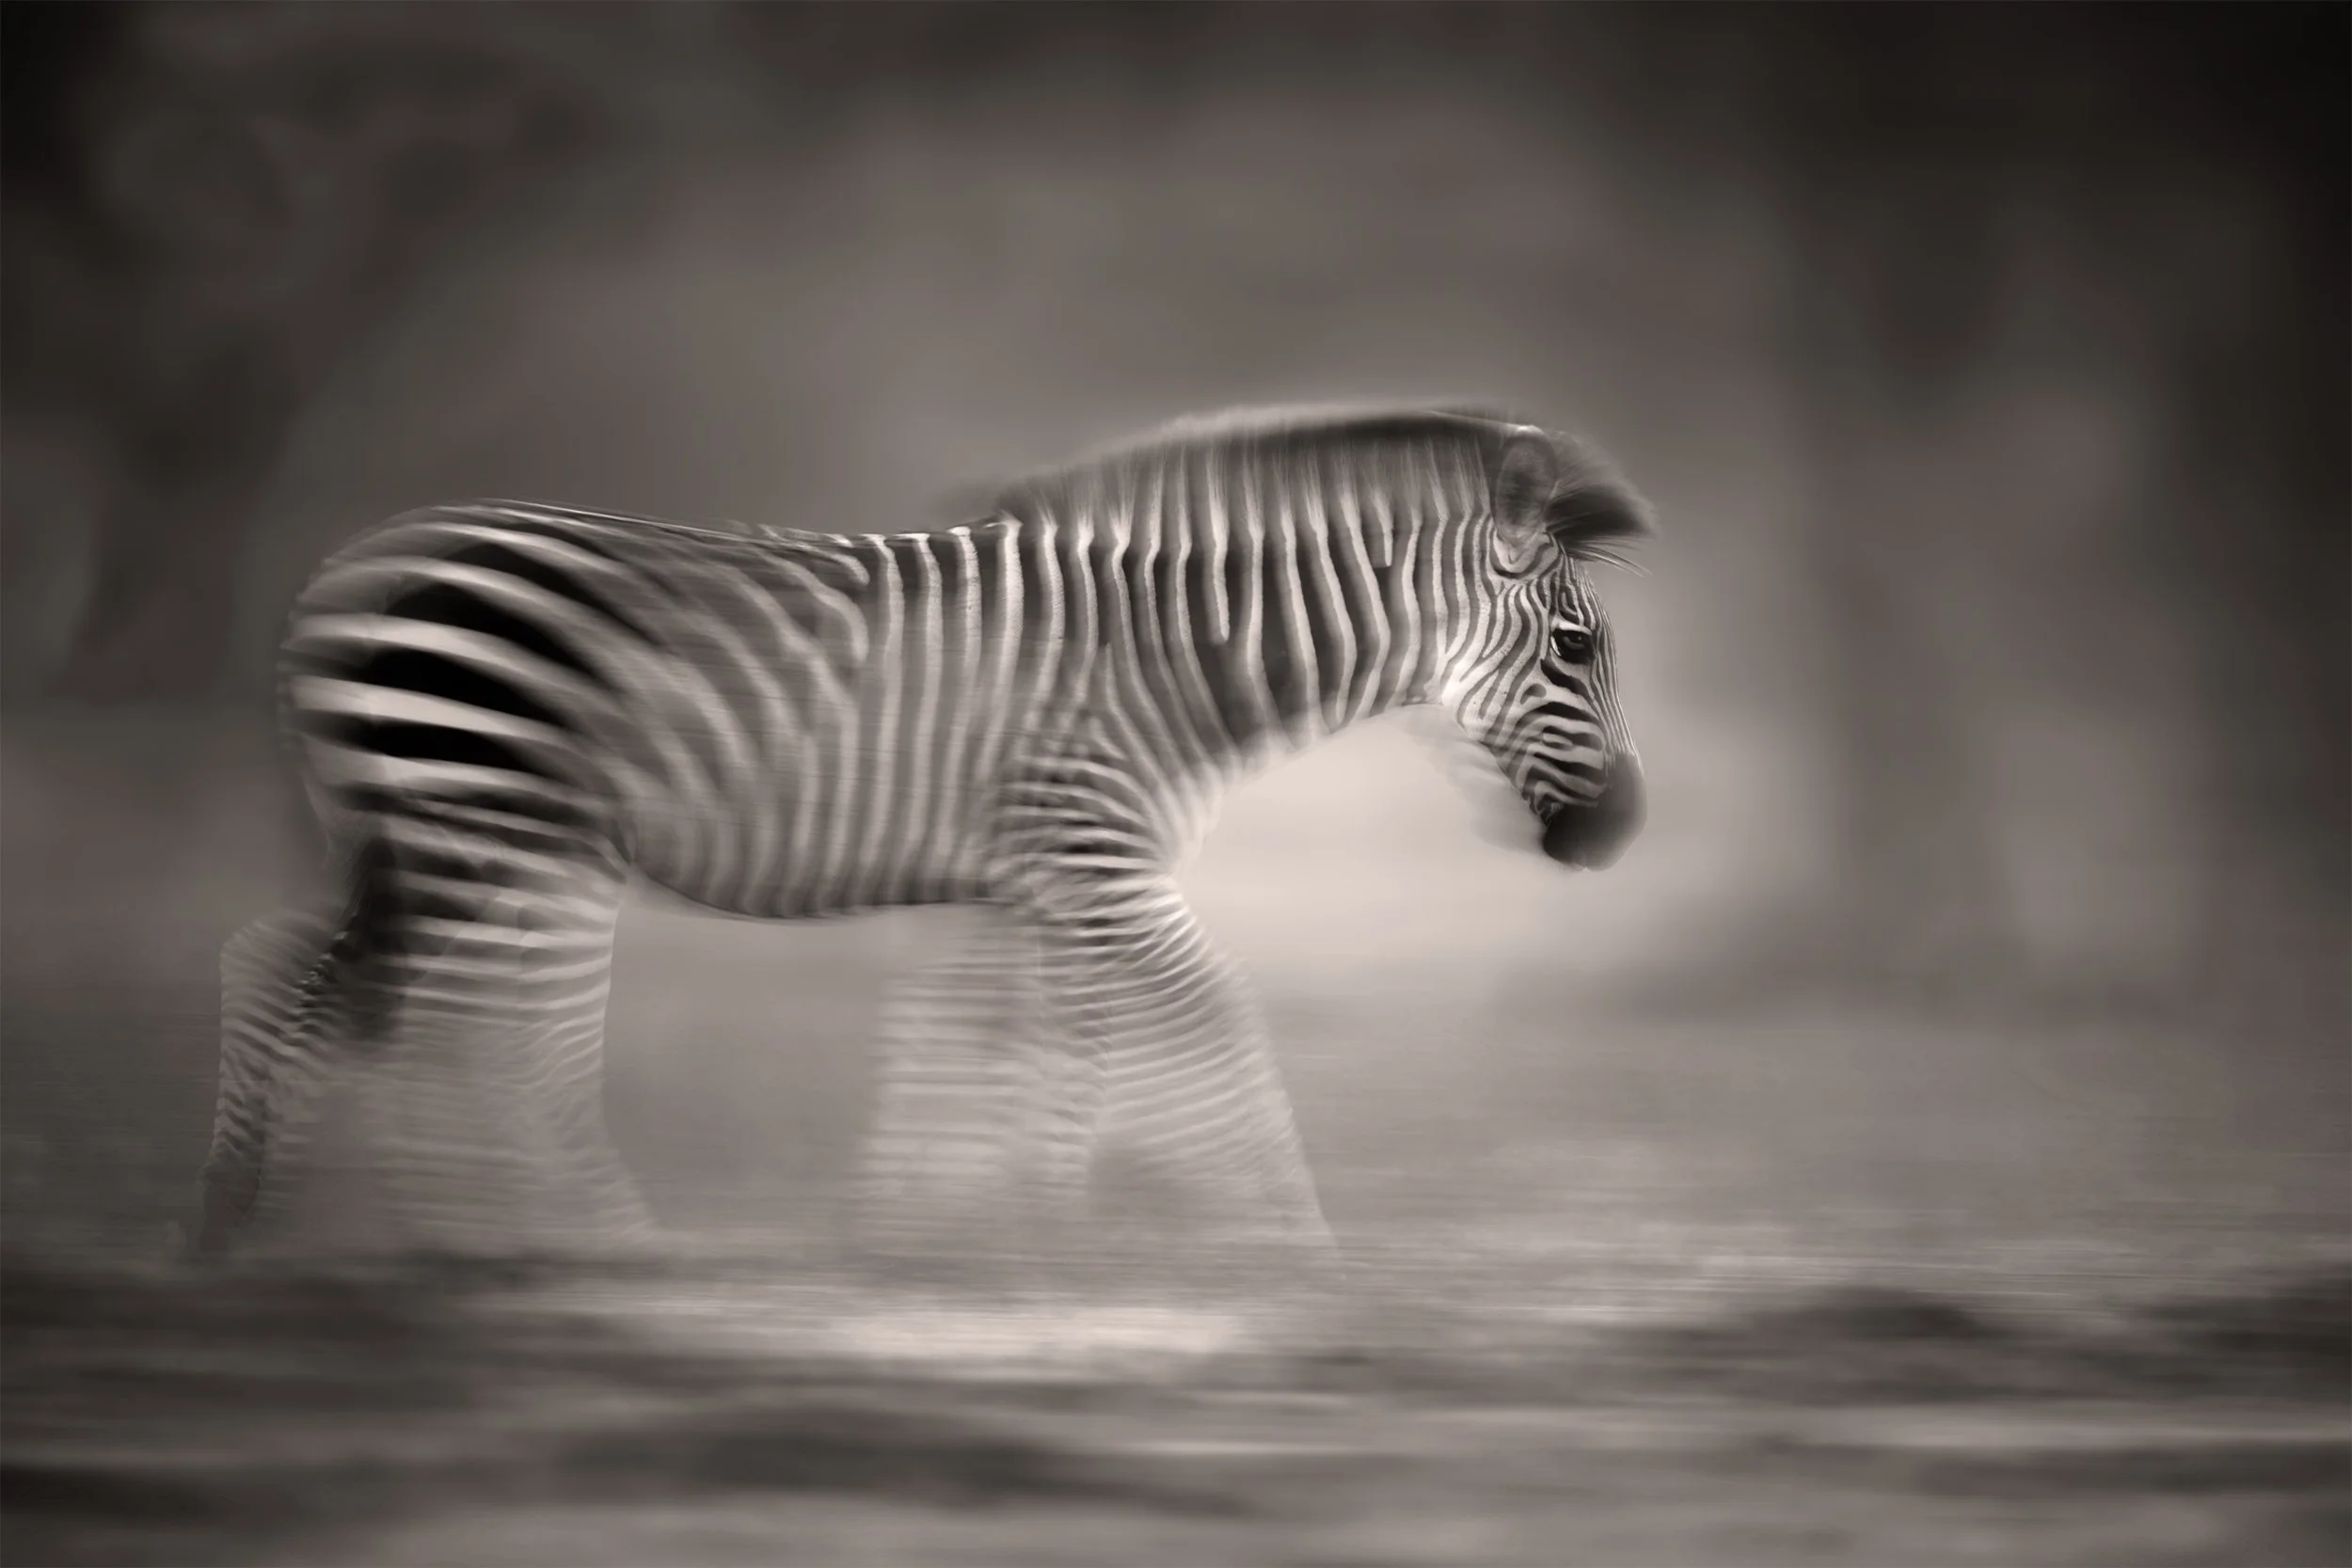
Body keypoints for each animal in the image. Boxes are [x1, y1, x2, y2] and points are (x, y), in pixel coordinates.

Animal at [195, 403, 1653, 1258]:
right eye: (1577, 648)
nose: (1620, 837)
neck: (1174, 663)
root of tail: (347, 569)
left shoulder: (1026, 881)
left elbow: (1004, 1061)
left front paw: (941, 1250)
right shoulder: (1096, 862)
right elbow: (1205, 1027)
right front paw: (1299, 1261)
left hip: (431, 833)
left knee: (289, 975)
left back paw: (253, 1241)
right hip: (508, 831)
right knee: (486, 1047)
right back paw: (583, 1262)